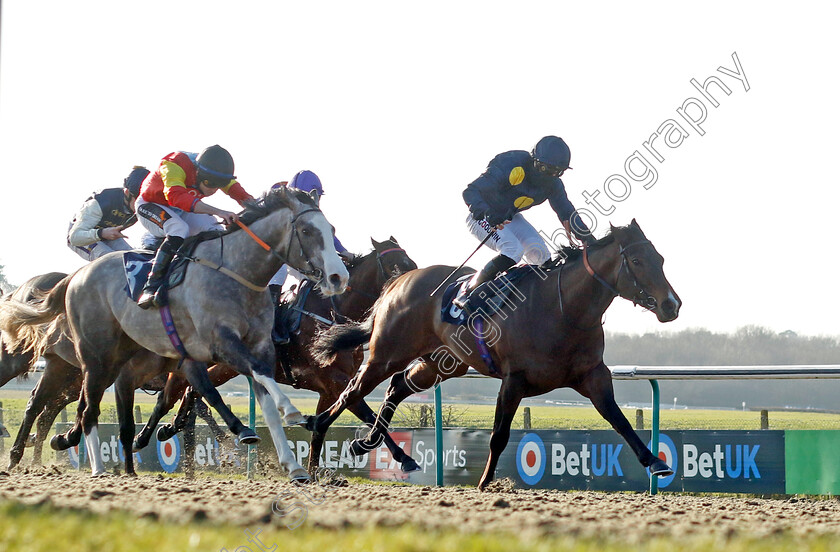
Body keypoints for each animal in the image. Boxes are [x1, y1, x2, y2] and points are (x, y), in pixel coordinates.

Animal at [0, 188, 348, 480]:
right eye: (307, 231)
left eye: (331, 230)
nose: (337, 277)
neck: (238, 274)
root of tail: (75, 276)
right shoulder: (222, 343)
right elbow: (256, 378)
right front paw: (292, 412)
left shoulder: (257, 347)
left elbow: (260, 395)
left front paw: (293, 465)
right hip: (93, 359)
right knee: (76, 409)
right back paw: (89, 467)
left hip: (106, 364)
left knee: (64, 408)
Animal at [135, 235, 424, 472]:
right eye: (397, 264)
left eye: (411, 260)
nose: (413, 288)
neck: (333, 314)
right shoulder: (336, 381)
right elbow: (369, 415)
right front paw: (403, 458)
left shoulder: (329, 388)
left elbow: (321, 428)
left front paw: (315, 473)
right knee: (170, 394)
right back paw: (144, 436)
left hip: (224, 367)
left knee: (191, 390)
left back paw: (172, 426)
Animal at [308, 220, 684, 488]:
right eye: (636, 260)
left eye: (661, 259)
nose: (672, 305)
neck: (564, 308)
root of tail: (399, 281)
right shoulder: (514, 379)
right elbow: (499, 436)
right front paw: (485, 483)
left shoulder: (593, 375)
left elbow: (619, 420)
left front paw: (656, 462)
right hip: (387, 353)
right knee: (351, 391)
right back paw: (316, 445)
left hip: (442, 364)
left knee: (396, 387)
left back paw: (370, 446)